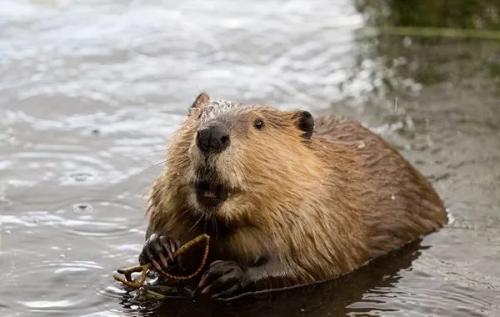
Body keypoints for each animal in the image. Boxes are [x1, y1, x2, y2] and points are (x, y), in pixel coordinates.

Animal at [139, 91, 448, 296]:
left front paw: (226, 274)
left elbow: (314, 264)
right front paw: (159, 247)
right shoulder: (165, 200)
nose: (212, 135)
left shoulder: (322, 214)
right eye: (200, 116)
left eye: (259, 123)